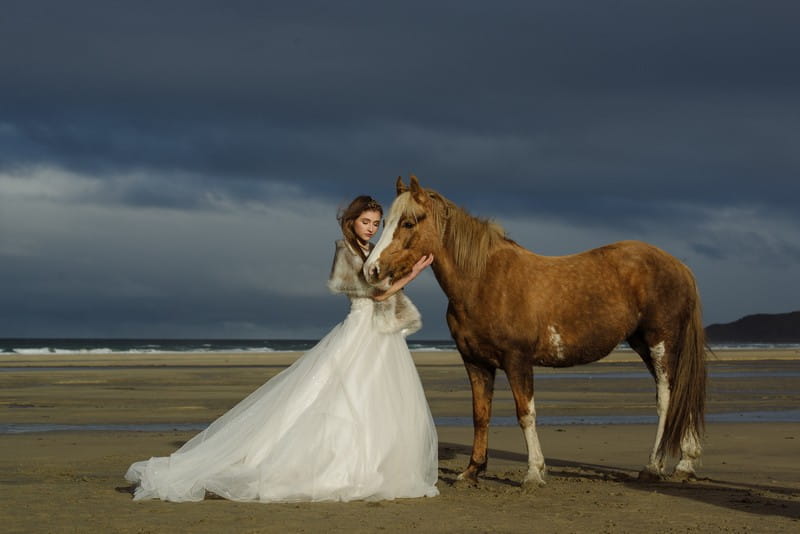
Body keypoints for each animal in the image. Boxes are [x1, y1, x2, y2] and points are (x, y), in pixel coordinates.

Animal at [362, 176, 708, 490]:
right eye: (384, 223)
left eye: (408, 222)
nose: (370, 270)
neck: (483, 281)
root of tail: (680, 267)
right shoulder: (476, 363)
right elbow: (480, 415)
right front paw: (472, 472)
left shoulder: (517, 361)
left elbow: (525, 413)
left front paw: (534, 473)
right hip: (643, 344)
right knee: (679, 395)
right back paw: (685, 464)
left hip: (660, 342)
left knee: (667, 399)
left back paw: (653, 467)